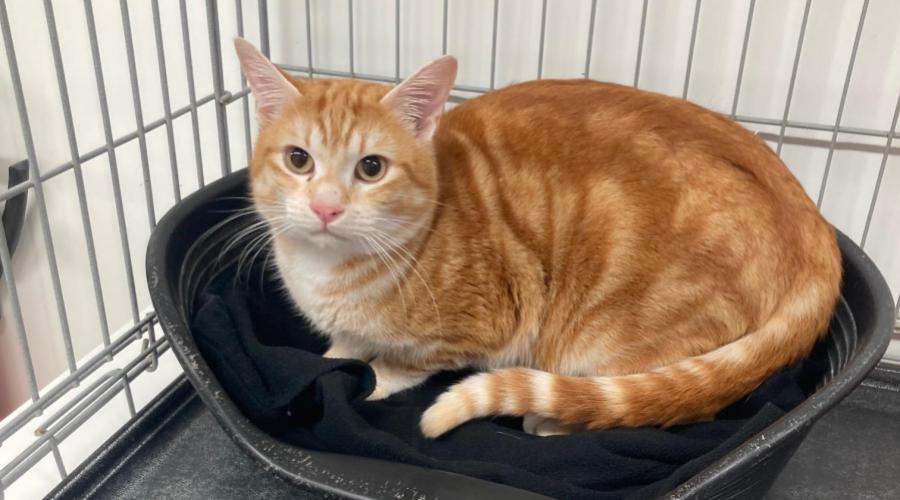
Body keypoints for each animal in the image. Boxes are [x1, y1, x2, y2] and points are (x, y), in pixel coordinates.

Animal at [234, 38, 841, 438]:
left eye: (371, 168)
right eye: (298, 160)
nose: (326, 206)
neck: (329, 273)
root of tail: (811, 223)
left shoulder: (483, 324)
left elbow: (402, 365)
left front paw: (373, 379)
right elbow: (345, 348)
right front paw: (337, 355)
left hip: (606, 337)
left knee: (676, 404)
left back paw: (548, 420)